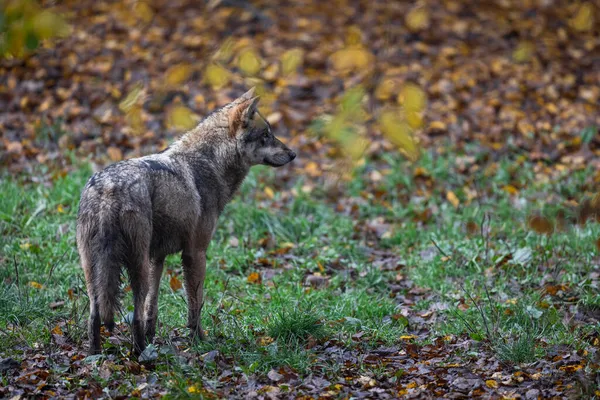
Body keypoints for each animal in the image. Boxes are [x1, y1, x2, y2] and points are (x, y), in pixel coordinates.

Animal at [76, 89, 296, 354]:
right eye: (266, 135)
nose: (293, 154)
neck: (209, 163)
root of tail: (109, 188)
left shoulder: (157, 257)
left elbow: (152, 307)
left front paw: (154, 336)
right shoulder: (195, 253)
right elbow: (195, 305)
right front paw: (198, 341)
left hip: (94, 269)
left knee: (95, 315)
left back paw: (95, 355)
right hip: (135, 265)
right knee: (134, 315)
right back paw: (141, 355)